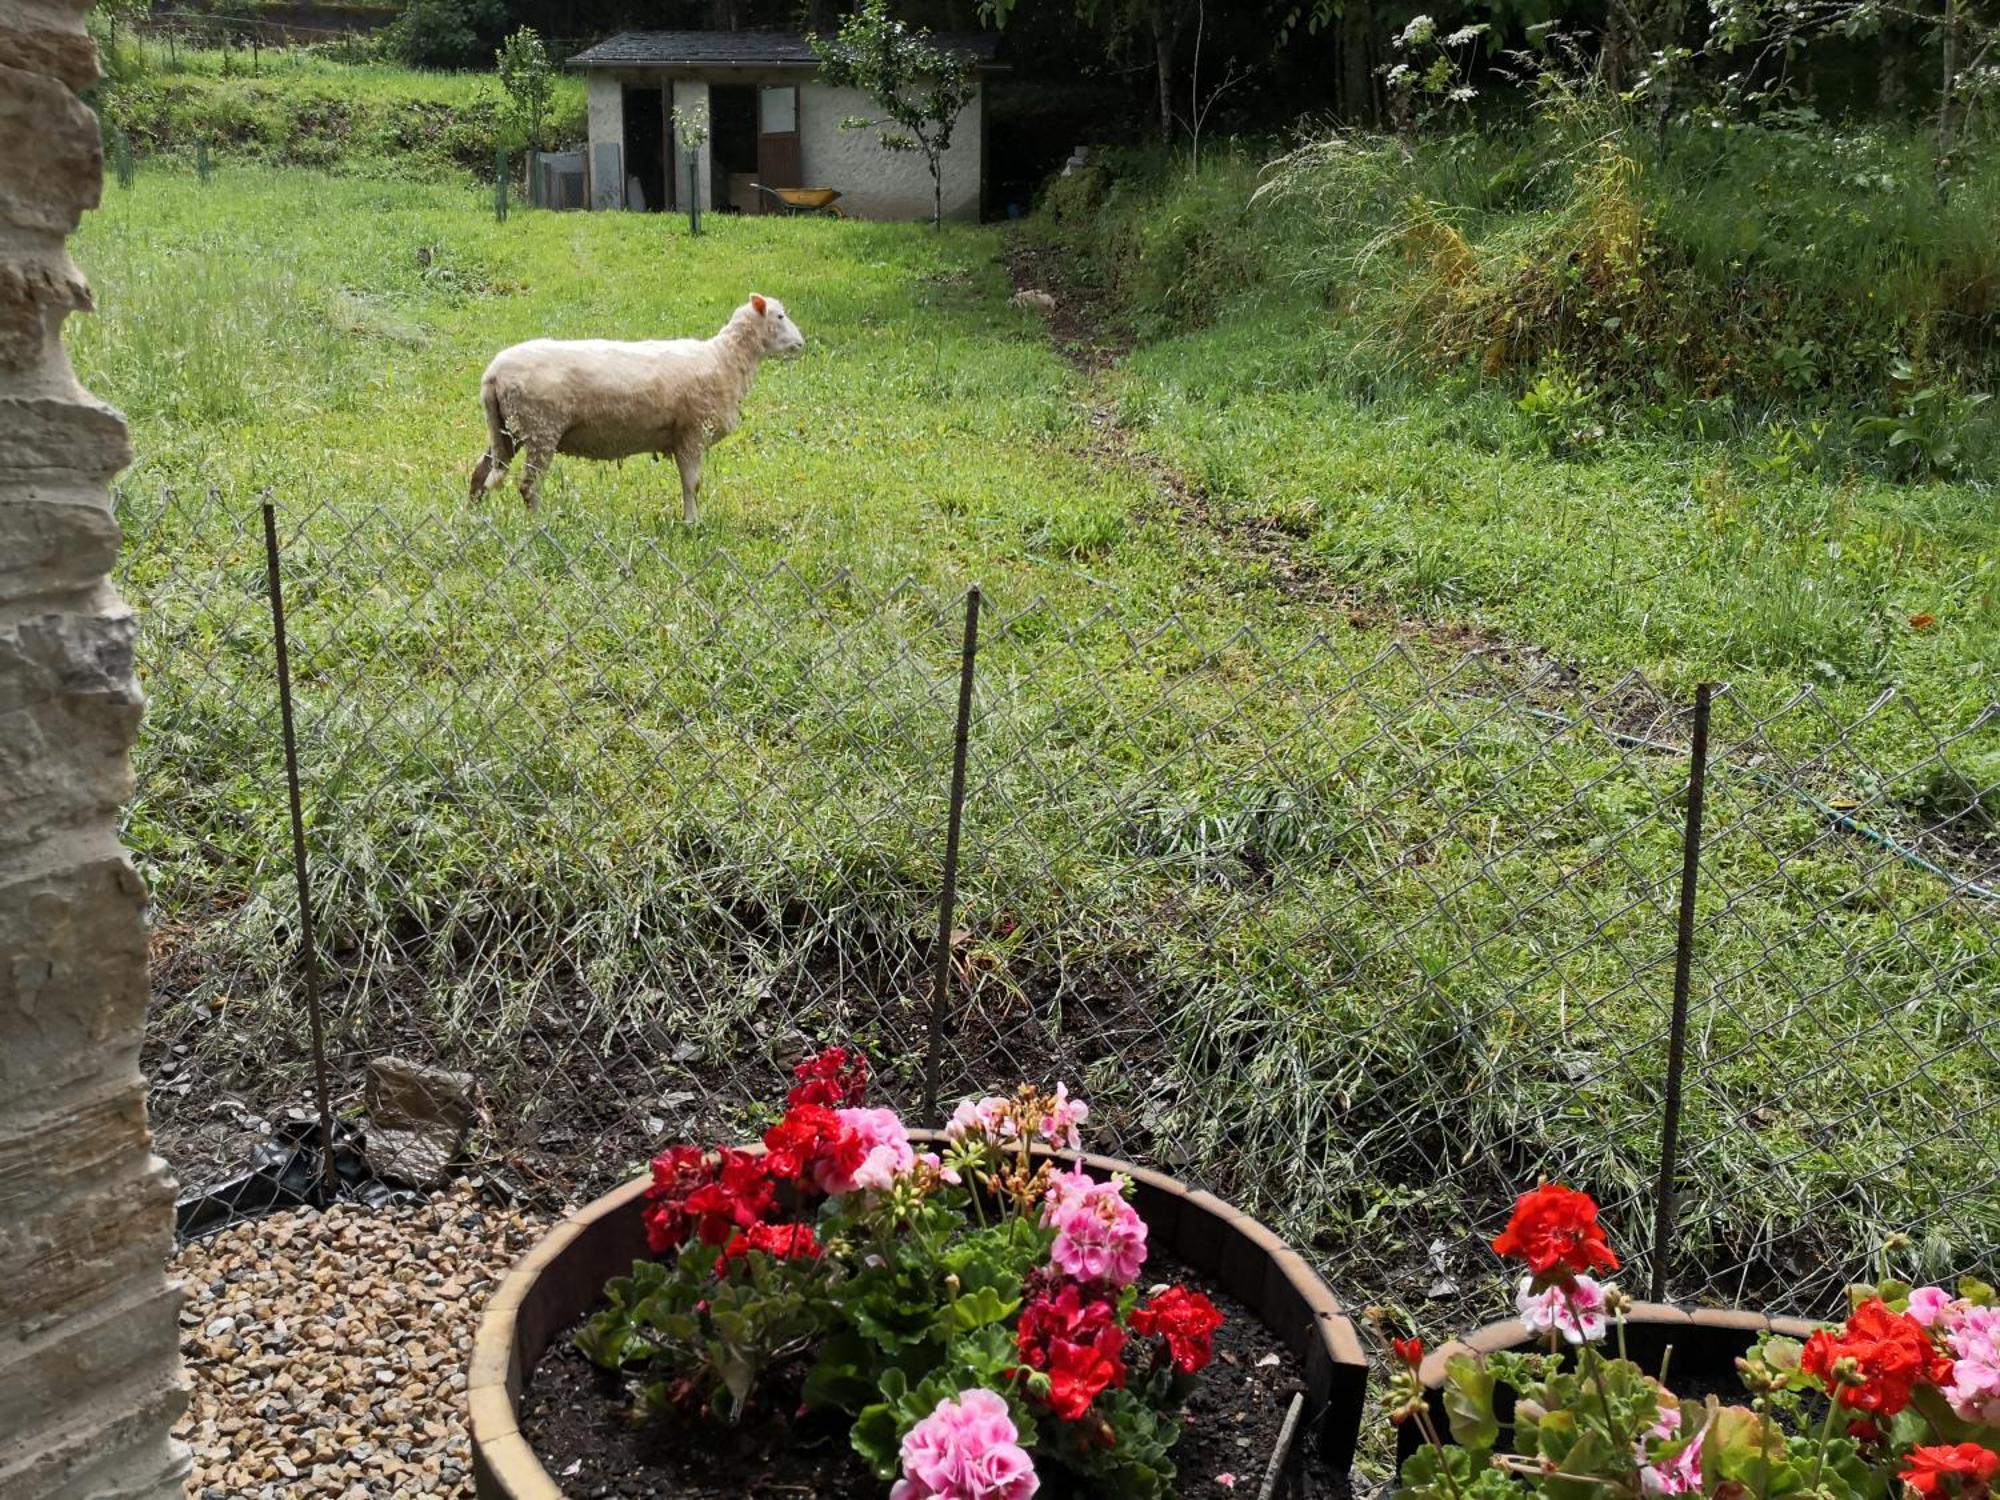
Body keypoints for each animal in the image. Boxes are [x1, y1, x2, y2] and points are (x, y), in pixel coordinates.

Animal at [468, 296, 804, 524]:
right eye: (780, 315)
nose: (801, 343)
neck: (725, 359)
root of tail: (492, 373)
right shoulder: (692, 433)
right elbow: (692, 483)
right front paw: (692, 523)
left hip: (507, 429)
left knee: (480, 472)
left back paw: (473, 518)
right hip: (541, 428)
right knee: (528, 485)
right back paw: (540, 523)